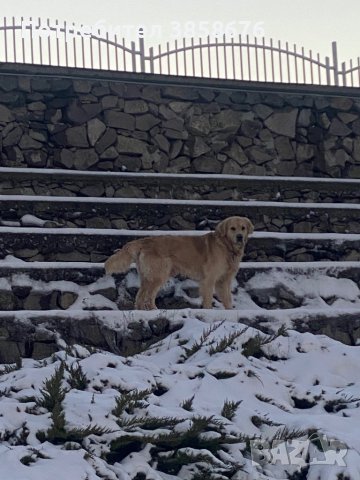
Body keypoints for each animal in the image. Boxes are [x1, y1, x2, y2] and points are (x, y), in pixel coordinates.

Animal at [105, 216, 253, 310]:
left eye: (243, 228)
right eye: (232, 228)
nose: (239, 237)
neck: (226, 246)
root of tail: (144, 241)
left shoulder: (225, 280)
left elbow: (228, 299)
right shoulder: (209, 279)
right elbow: (208, 298)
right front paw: (208, 310)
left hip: (147, 276)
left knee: (140, 296)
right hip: (159, 275)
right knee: (148, 296)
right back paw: (154, 309)